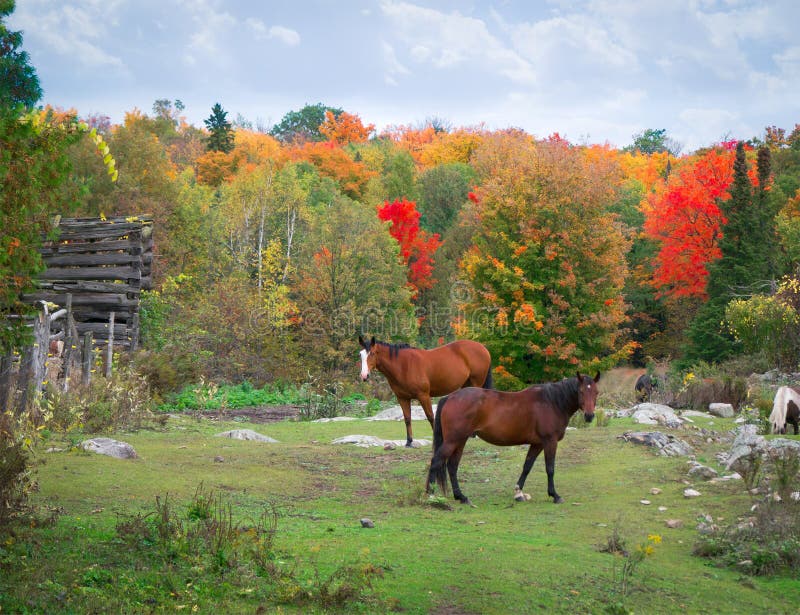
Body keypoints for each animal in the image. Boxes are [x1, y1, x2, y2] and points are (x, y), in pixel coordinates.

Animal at [358, 336, 494, 448]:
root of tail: (482, 348)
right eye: (361, 355)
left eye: (372, 353)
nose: (364, 376)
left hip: (476, 384)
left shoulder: (423, 396)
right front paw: (409, 442)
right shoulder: (402, 398)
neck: (403, 365)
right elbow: (407, 418)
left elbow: (430, 417)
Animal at [424, 370, 600, 506]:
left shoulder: (537, 444)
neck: (551, 402)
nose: (589, 416)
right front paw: (555, 495)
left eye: (596, 392)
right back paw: (430, 495)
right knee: (436, 461)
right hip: (453, 441)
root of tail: (450, 397)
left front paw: (518, 493)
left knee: (452, 466)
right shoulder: (549, 442)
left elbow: (527, 466)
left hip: (460, 441)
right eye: (581, 391)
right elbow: (550, 468)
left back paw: (461, 497)